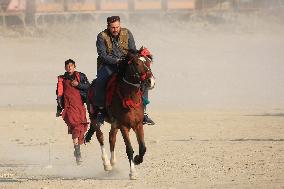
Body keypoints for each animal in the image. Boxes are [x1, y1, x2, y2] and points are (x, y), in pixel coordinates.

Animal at [85, 47, 155, 179]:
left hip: (114, 123)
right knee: (100, 136)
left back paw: (113, 163)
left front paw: (137, 160)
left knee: (111, 137)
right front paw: (133, 173)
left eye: (149, 62)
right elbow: (129, 149)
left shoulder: (138, 124)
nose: (151, 81)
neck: (130, 97)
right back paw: (107, 164)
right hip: (94, 117)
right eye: (136, 63)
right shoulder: (124, 126)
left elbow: (143, 147)